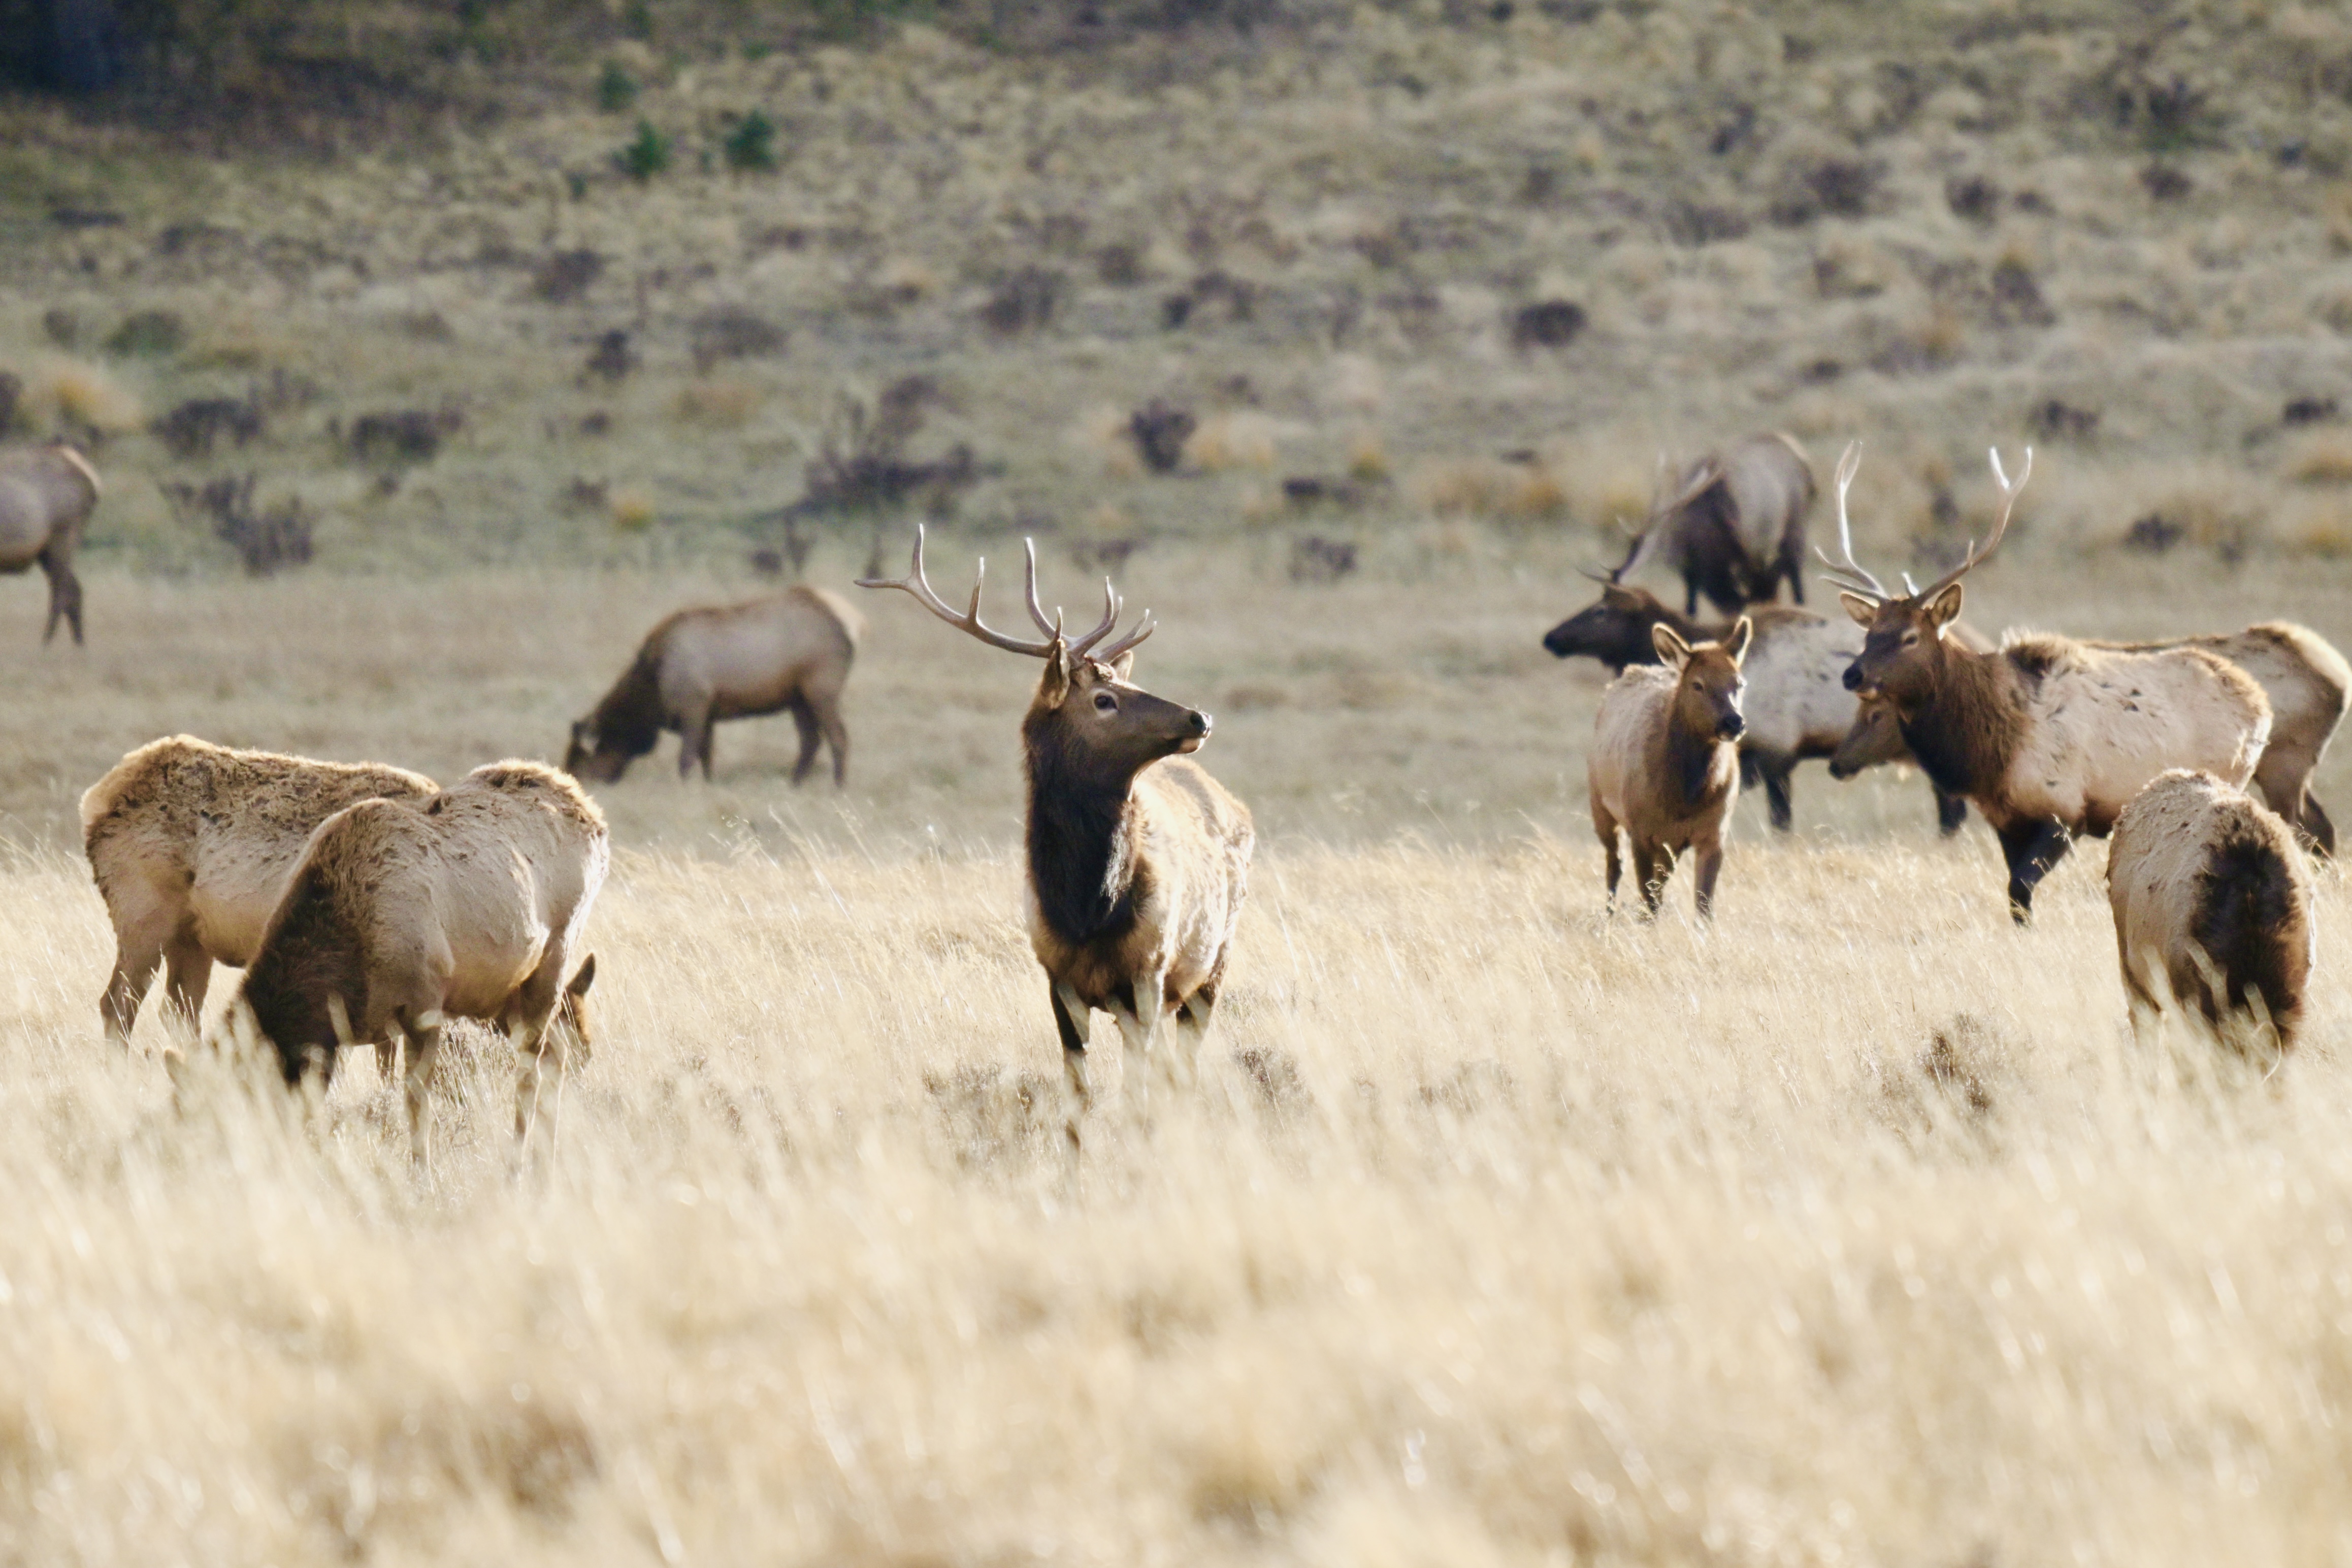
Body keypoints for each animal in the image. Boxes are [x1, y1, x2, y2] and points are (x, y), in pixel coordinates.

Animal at [860, 528, 1253, 1134]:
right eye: (1104, 699)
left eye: (1125, 682)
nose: (1199, 717)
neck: (1086, 908)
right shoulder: (1056, 976)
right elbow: (1078, 1096)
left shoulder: (1149, 972)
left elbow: (1134, 1094)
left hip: (1213, 963)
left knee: (1183, 1068)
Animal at [1588, 617, 1753, 919]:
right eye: (1698, 684)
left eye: (1739, 683)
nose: (1734, 722)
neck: (1683, 799)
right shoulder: (1640, 830)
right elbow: (1648, 896)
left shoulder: (1715, 831)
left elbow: (1703, 906)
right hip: (1600, 803)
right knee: (1615, 864)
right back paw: (1609, 914)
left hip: (1671, 844)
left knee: (1659, 877)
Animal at [1824, 442, 2272, 922]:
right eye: (1870, 633)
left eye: (1910, 637)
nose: (1853, 674)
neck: (1989, 753)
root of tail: (2261, 703)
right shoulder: (2005, 818)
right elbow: (2015, 900)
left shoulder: (2065, 809)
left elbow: (2019, 889)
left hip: (2228, 777)